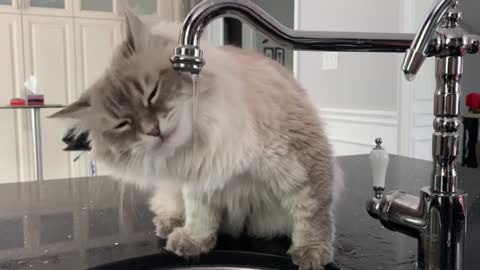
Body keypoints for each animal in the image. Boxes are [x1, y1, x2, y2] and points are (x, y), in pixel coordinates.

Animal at [50, 10, 344, 270]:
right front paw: (192, 241)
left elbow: (311, 213)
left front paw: (311, 252)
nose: (152, 130)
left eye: (151, 93)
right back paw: (168, 224)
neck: (208, 136)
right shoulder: (199, 180)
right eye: (122, 124)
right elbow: (200, 216)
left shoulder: (302, 161)